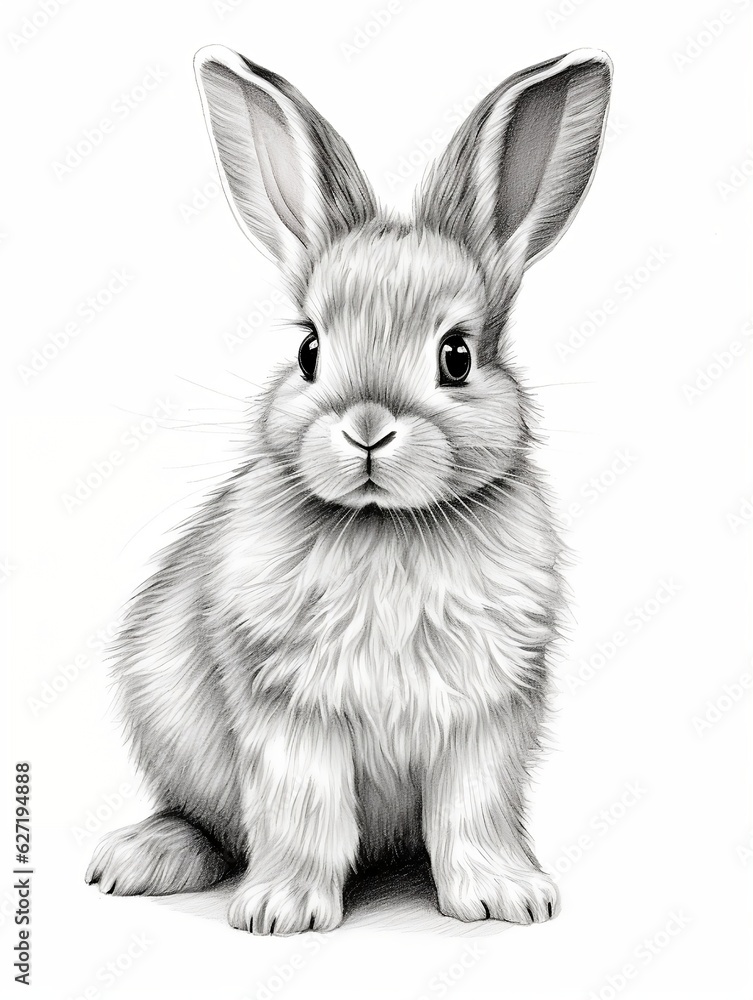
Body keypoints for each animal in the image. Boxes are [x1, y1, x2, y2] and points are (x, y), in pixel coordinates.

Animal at [85, 44, 612, 935]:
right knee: (205, 822)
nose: (366, 428)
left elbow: (472, 810)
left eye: (456, 357)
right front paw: (281, 911)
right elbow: (305, 809)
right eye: (308, 350)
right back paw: (139, 859)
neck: (385, 525)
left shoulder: (486, 712)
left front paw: (505, 898)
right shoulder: (286, 706)